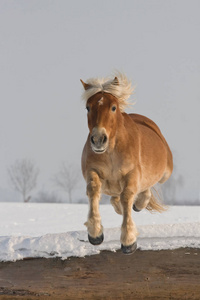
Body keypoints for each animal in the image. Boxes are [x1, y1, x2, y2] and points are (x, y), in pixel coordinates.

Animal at [80, 72, 173, 253]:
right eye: (88, 107)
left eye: (113, 107)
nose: (98, 139)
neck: (111, 152)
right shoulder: (92, 170)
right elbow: (94, 190)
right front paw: (95, 233)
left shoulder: (132, 174)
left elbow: (127, 196)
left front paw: (128, 241)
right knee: (116, 198)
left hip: (165, 173)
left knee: (145, 189)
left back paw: (139, 203)